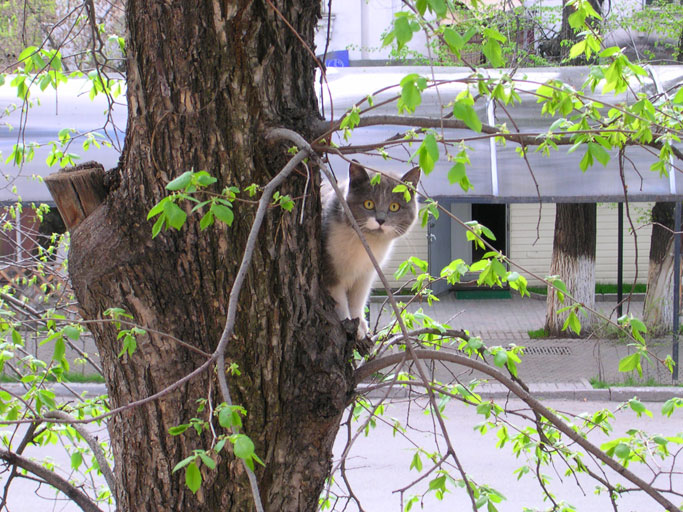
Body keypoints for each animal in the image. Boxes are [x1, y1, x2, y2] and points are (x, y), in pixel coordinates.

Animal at [322, 160, 422, 340]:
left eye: (394, 206)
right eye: (368, 204)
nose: (380, 220)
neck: (364, 243)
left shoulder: (366, 273)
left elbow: (358, 298)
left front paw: (360, 324)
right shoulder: (329, 269)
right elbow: (340, 300)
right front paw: (348, 321)